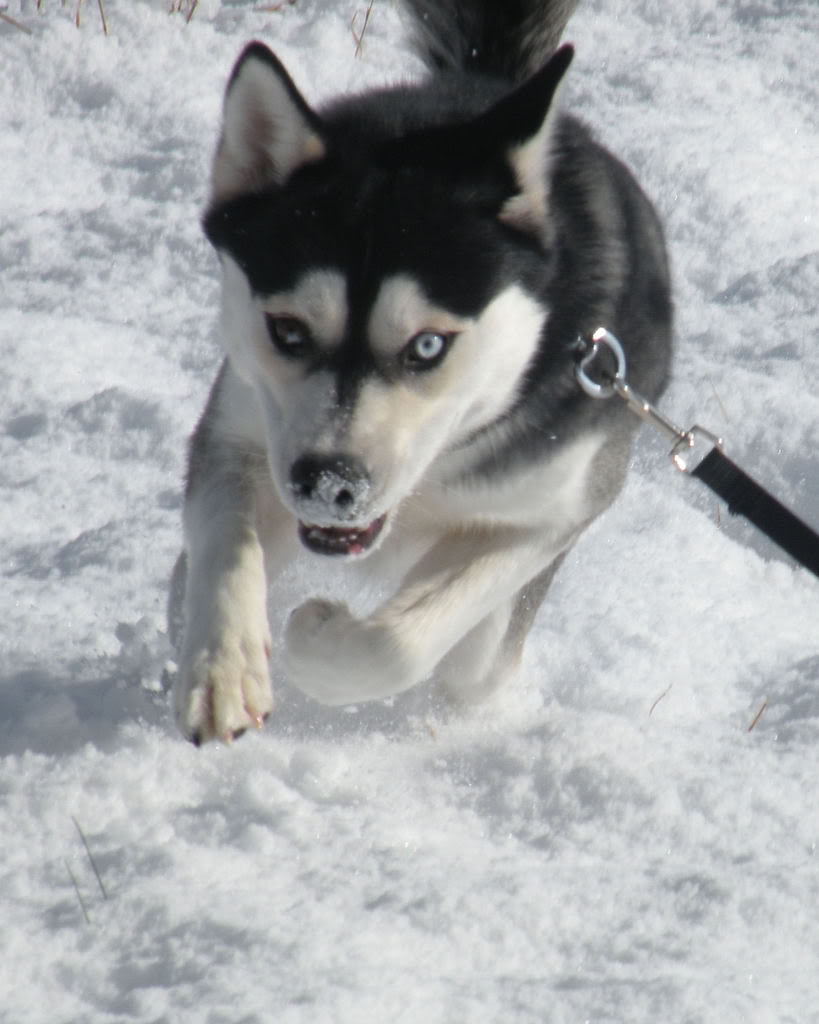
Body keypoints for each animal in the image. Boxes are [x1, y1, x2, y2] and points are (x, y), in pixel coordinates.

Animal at [167, 0, 671, 741]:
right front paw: (223, 667)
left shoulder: (558, 505)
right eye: (288, 330)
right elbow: (224, 551)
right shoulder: (240, 432)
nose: (330, 483)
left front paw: (320, 639)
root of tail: (485, 87)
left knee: (476, 659)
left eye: (428, 347)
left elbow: (400, 640)